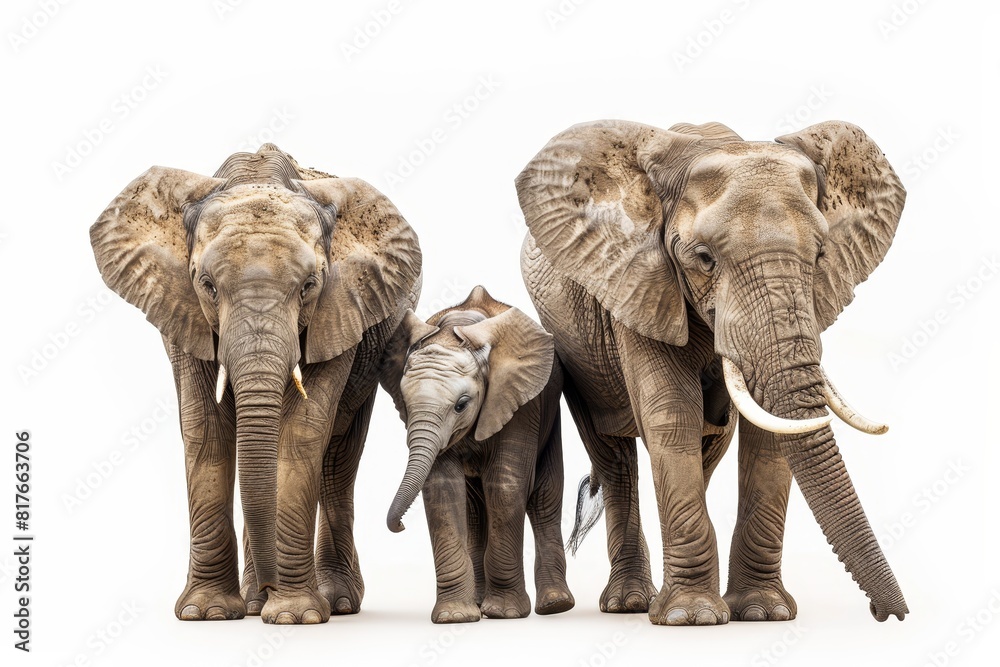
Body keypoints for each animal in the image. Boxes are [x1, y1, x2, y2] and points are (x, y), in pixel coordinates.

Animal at [89, 144, 422, 623]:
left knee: (338, 457)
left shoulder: (342, 307)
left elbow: (302, 433)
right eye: (207, 285)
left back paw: (333, 602)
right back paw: (251, 602)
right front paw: (207, 613)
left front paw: (295, 616)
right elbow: (205, 429)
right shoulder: (180, 306)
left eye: (309, 286)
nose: (270, 586)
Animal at [379, 286, 574, 623]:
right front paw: (455, 617)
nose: (399, 526)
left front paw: (506, 613)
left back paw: (555, 605)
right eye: (404, 401)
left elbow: (506, 485)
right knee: (474, 511)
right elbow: (442, 489)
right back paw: (480, 604)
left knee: (544, 497)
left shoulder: (520, 404)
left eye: (462, 404)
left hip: (550, 416)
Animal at [516, 119, 908, 625]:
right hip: (574, 346)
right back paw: (630, 604)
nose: (888, 615)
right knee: (615, 458)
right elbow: (672, 415)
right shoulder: (641, 282)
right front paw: (692, 618)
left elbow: (768, 433)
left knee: (708, 444)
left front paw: (762, 613)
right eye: (703, 258)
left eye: (821, 256)